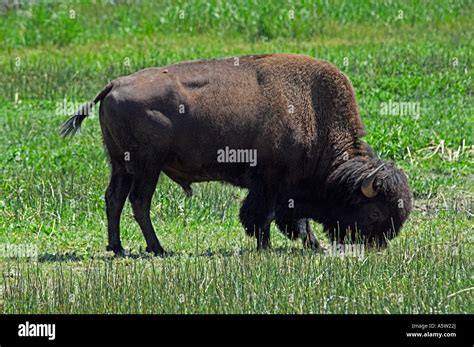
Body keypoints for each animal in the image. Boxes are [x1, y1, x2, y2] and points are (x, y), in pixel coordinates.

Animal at [61, 53, 412, 256]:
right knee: (138, 202)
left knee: (114, 198)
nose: (378, 246)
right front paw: (267, 246)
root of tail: (114, 84)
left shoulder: (285, 188)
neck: (312, 111)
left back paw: (117, 247)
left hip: (121, 165)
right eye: (375, 213)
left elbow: (290, 218)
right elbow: (264, 216)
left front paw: (311, 245)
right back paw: (158, 249)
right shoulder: (271, 183)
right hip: (147, 167)